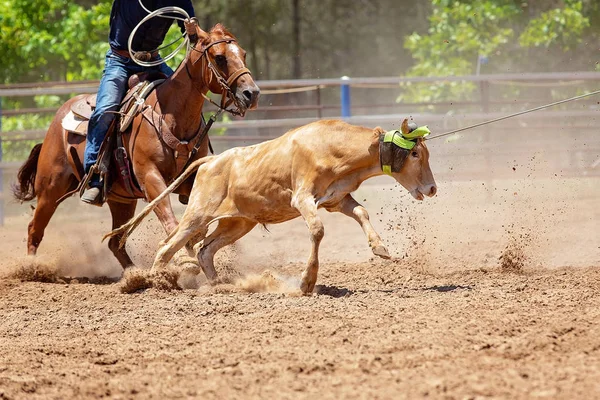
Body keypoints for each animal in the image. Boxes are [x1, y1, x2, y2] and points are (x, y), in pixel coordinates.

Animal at [11, 23, 260, 270]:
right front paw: (183, 259)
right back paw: (30, 268)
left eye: (243, 54)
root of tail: (60, 116)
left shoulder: (189, 179)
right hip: (50, 188)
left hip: (121, 200)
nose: (252, 93)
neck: (171, 114)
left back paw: (134, 274)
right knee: (35, 229)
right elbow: (170, 218)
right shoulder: (150, 176)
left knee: (114, 243)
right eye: (219, 58)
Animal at [106, 119, 436, 294]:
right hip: (198, 213)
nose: (432, 188)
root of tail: (211, 160)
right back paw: (155, 282)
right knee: (168, 244)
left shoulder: (336, 199)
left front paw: (380, 247)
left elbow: (361, 212)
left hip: (238, 222)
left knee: (205, 250)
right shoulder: (302, 198)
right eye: (415, 153)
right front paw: (306, 282)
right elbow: (317, 230)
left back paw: (220, 285)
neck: (331, 146)